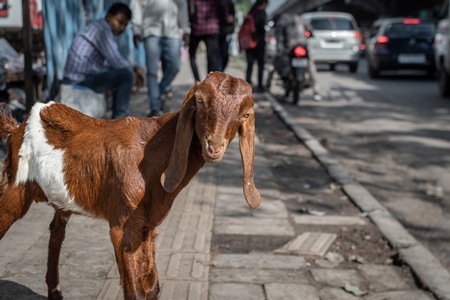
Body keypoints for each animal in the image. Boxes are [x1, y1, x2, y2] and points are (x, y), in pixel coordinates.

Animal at [0, 72, 260, 300]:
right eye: (200, 101)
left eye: (245, 114)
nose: (213, 146)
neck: (150, 151)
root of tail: (16, 128)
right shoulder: (122, 224)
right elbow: (134, 290)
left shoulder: (147, 225)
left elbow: (152, 286)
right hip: (14, 187)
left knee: (56, 232)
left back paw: (55, 292)